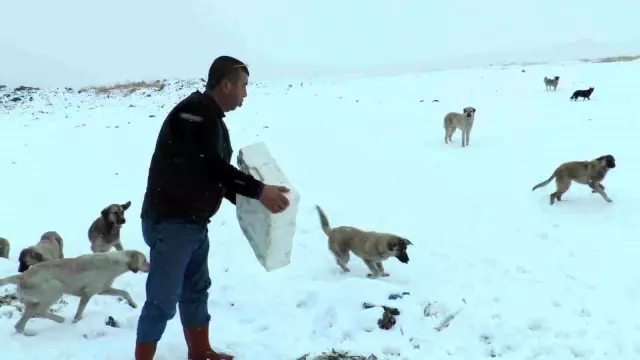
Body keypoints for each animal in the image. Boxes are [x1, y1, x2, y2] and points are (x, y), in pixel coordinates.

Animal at [0, 248, 149, 334]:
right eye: (144, 260)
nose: (150, 266)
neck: (115, 262)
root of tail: (22, 276)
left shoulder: (103, 290)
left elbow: (124, 293)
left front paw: (133, 304)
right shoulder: (88, 293)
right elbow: (79, 312)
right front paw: (76, 322)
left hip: (32, 303)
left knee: (20, 325)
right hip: (55, 291)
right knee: (40, 312)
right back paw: (60, 319)